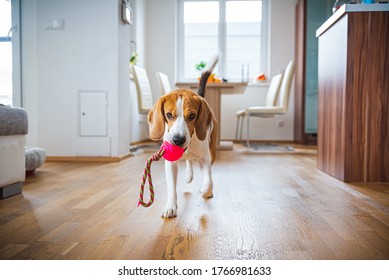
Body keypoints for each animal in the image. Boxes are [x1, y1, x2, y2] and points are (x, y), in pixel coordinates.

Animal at [147, 71, 217, 218]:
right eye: (169, 115)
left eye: (192, 116)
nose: (178, 140)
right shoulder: (170, 164)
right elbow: (171, 188)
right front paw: (170, 207)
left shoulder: (205, 159)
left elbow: (209, 181)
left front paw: (205, 190)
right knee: (189, 161)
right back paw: (189, 175)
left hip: (211, 151)